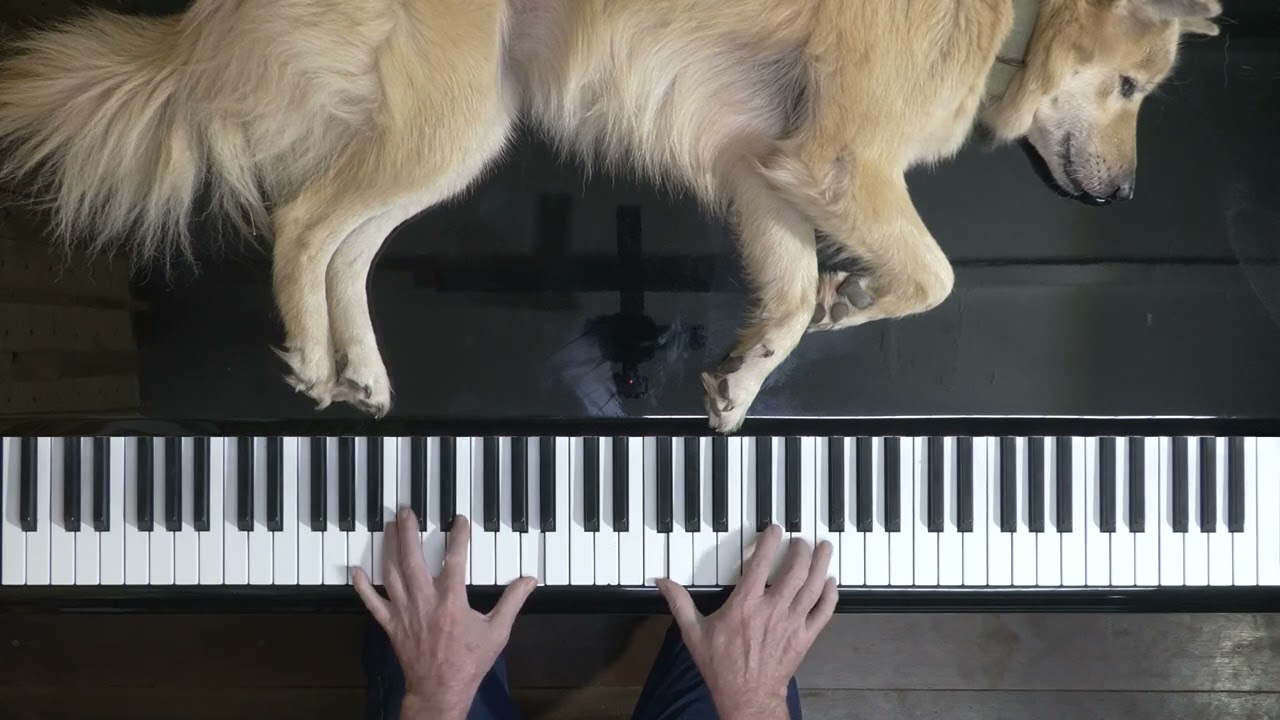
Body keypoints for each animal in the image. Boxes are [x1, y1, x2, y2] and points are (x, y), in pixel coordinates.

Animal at [0, 0, 1222, 432]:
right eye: (1128, 88)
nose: (1122, 198)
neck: (1013, 22)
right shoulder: (835, 161)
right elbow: (934, 275)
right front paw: (859, 294)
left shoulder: (763, 170)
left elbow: (785, 299)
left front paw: (745, 380)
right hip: (445, 126)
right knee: (303, 223)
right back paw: (310, 357)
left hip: (455, 130)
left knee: (347, 244)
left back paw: (364, 371)